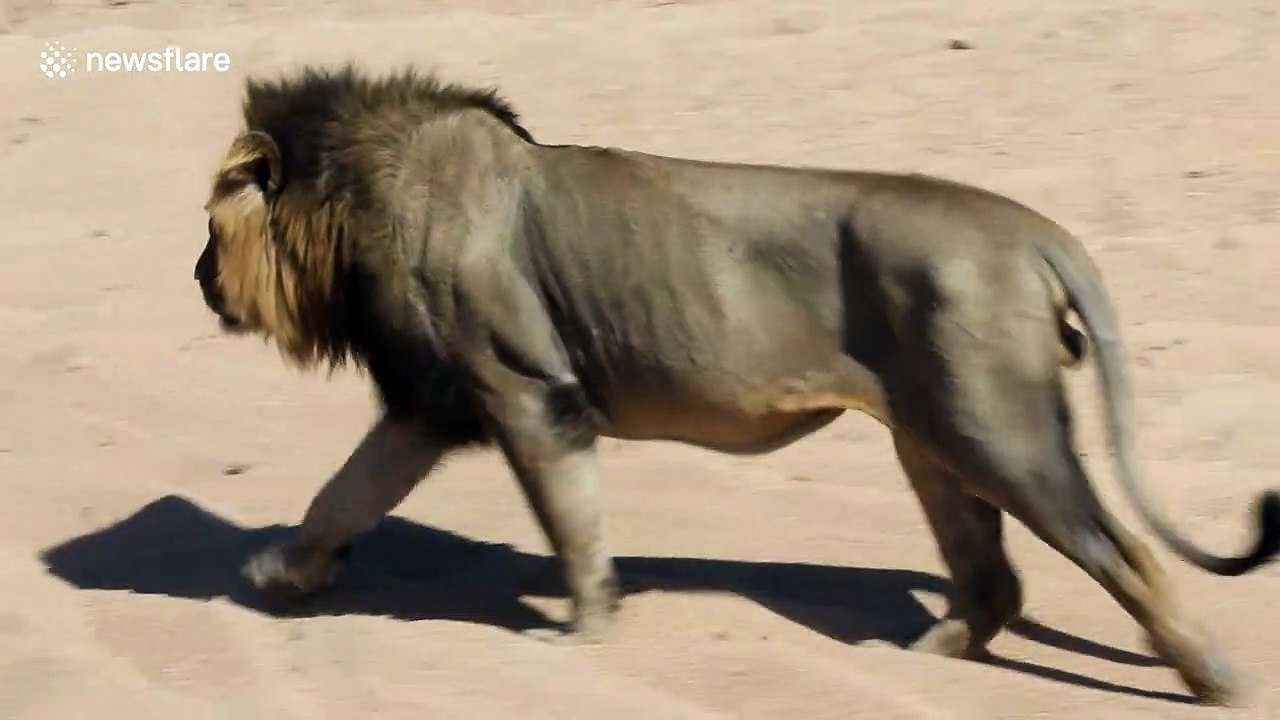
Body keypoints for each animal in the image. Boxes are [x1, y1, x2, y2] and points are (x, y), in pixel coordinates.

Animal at [193, 64, 1278, 706]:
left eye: (209, 228)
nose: (198, 278)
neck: (361, 201)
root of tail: (1033, 231)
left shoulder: (530, 394)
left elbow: (571, 523)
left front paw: (582, 631)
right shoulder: (430, 403)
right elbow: (341, 494)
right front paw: (279, 574)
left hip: (996, 429)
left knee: (1122, 552)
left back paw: (1214, 680)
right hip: (932, 436)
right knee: (992, 576)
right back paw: (918, 658)